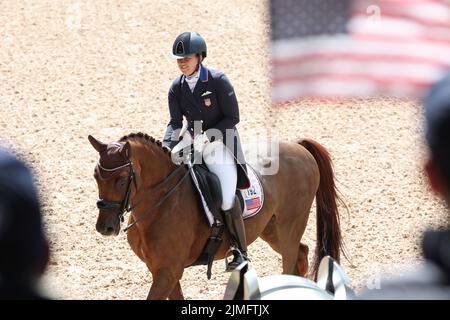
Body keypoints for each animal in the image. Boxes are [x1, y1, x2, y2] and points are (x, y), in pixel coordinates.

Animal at [88, 132, 342, 300]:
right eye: (96, 176)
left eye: (122, 180)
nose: (105, 227)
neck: (161, 202)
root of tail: (299, 148)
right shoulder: (161, 269)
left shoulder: (168, 271)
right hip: (271, 230)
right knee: (301, 252)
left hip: (289, 226)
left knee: (291, 259)